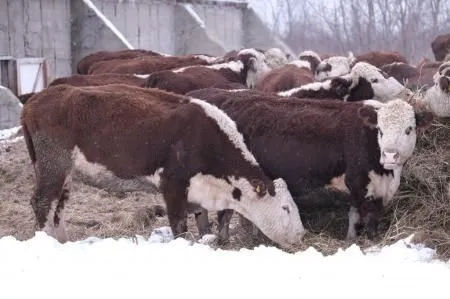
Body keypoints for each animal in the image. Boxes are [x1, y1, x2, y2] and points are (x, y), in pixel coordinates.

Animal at [19, 83, 304, 247]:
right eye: (286, 208)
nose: (301, 234)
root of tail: (36, 99)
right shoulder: (173, 184)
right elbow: (179, 224)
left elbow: (205, 222)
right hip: (54, 163)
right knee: (42, 202)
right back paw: (46, 241)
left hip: (62, 171)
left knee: (58, 205)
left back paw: (61, 241)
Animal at [185, 88, 432, 241]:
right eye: (380, 130)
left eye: (409, 129)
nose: (390, 155)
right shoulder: (361, 184)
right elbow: (365, 218)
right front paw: (368, 241)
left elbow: (358, 216)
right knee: (218, 212)